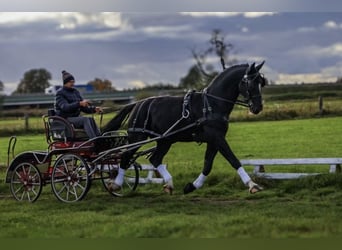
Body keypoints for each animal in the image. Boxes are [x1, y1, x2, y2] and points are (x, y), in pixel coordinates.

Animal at [103, 61, 268, 194]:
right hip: (137, 136)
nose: (258, 108)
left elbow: (208, 165)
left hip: (165, 140)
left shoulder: (214, 140)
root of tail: (137, 103)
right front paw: (252, 185)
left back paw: (169, 184)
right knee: (126, 156)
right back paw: (116, 184)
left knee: (155, 158)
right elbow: (233, 160)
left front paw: (192, 186)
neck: (211, 104)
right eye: (250, 83)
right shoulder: (217, 137)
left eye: (262, 82)